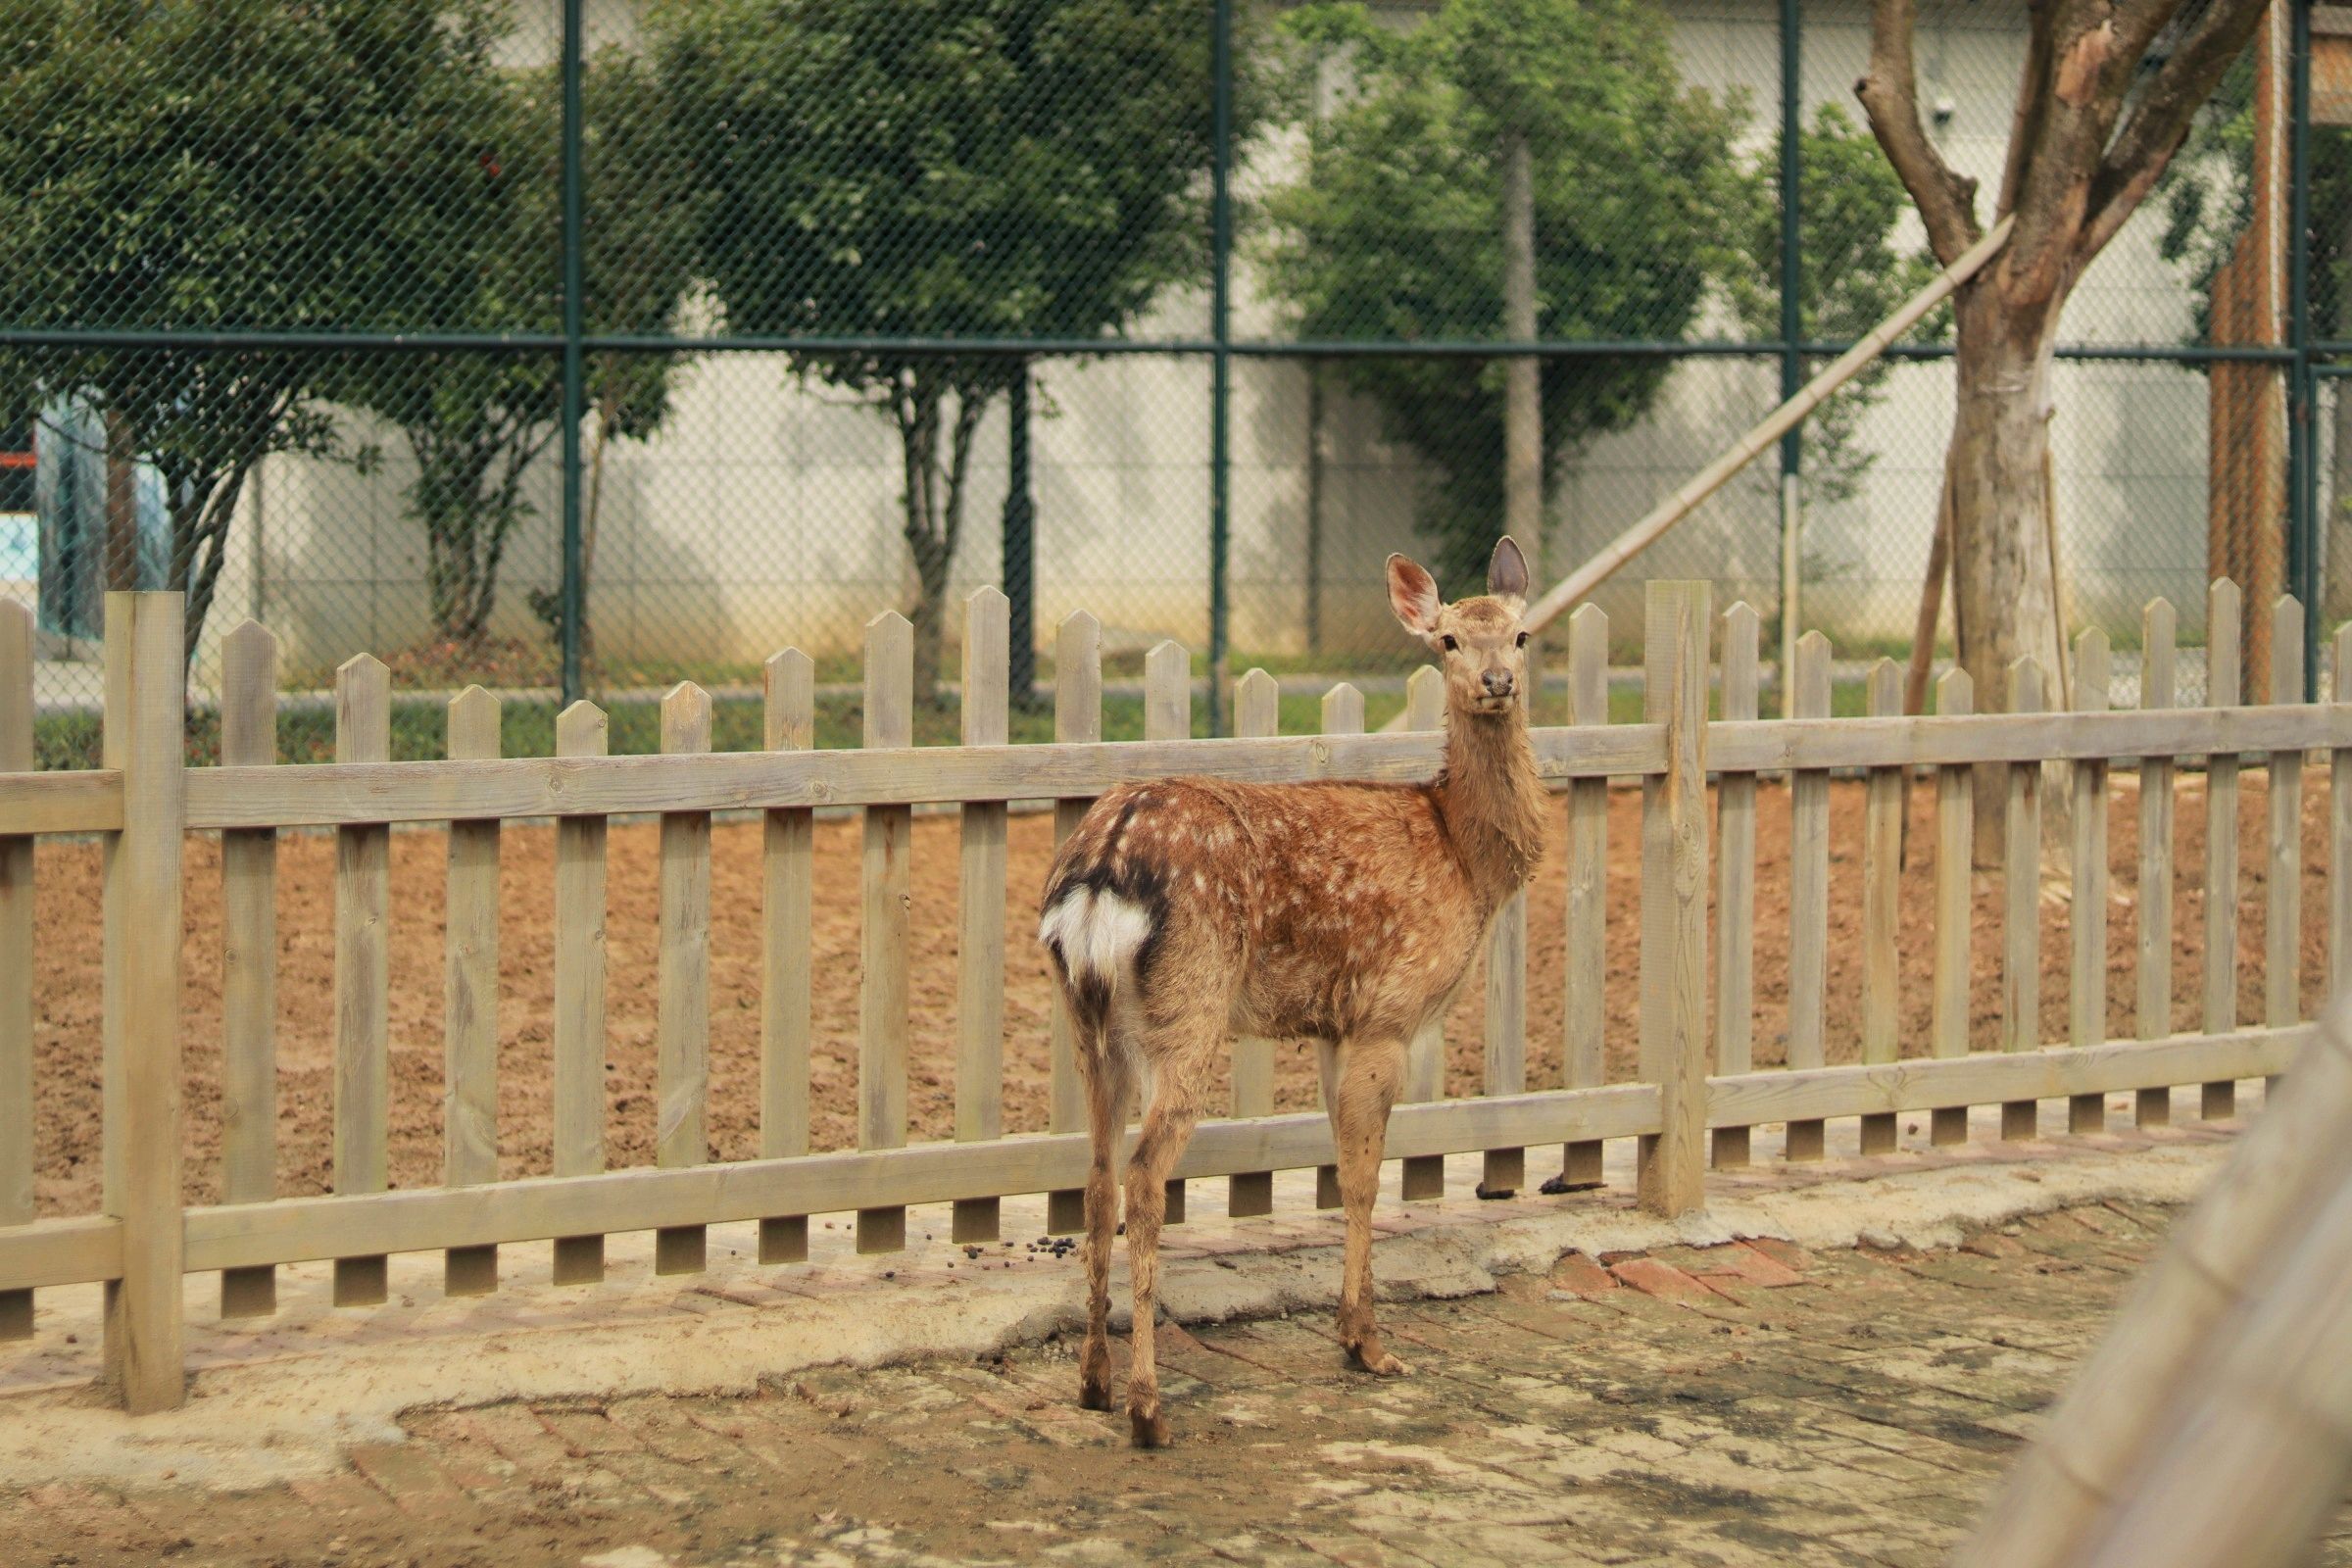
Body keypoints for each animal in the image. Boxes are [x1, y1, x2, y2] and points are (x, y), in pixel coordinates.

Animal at [1036, 537, 1548, 1447]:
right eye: (1448, 639)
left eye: (1520, 635)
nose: (1496, 681)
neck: (1463, 853)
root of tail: (1100, 870)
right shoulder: (1388, 1010)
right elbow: (1367, 1176)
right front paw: (1369, 1344)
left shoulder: (1334, 1025)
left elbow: (1342, 1165)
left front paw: (1351, 1332)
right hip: (1191, 1005)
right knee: (1143, 1178)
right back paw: (1148, 1408)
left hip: (1090, 1021)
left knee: (1093, 1178)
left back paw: (1093, 1383)